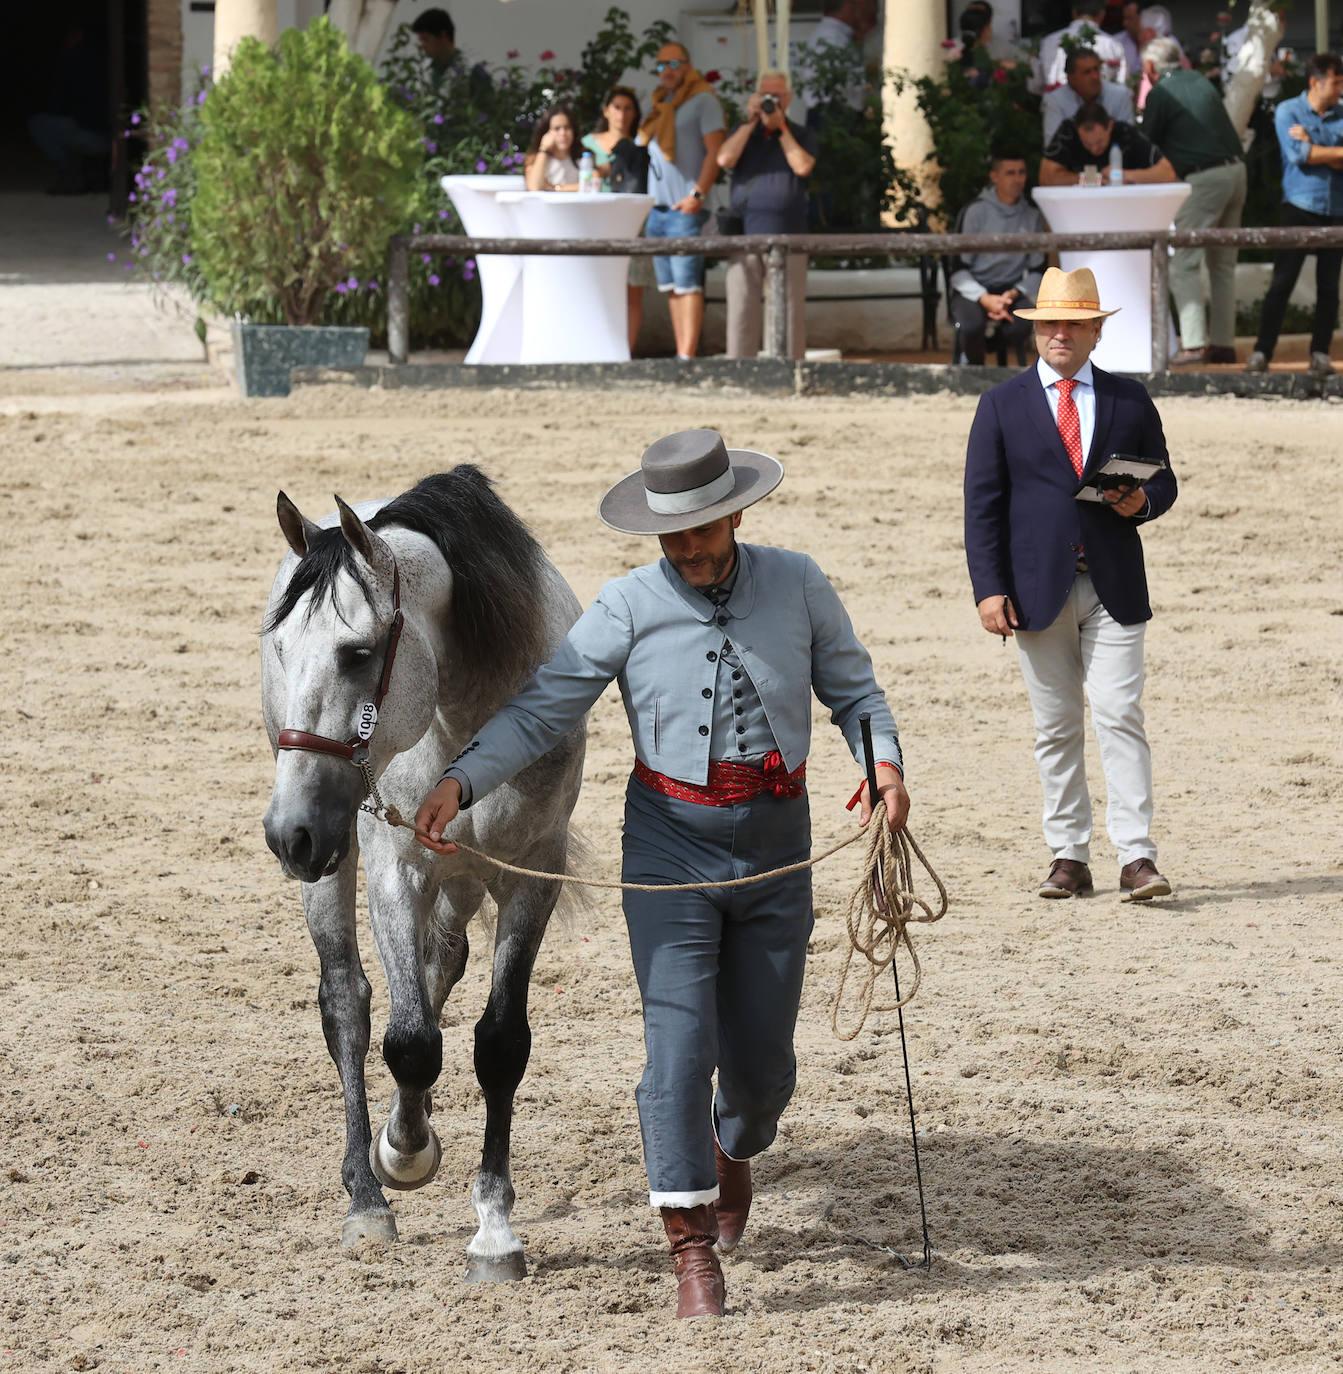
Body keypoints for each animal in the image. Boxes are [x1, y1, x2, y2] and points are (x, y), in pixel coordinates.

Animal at [257, 469, 582, 1275]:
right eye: (281, 646)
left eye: (357, 653)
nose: (285, 834)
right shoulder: (395, 866)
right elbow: (407, 1041)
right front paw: (401, 1154)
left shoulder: (532, 872)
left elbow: (500, 1042)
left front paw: (494, 1228)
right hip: (334, 852)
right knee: (349, 1001)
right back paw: (368, 1191)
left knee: (442, 962)